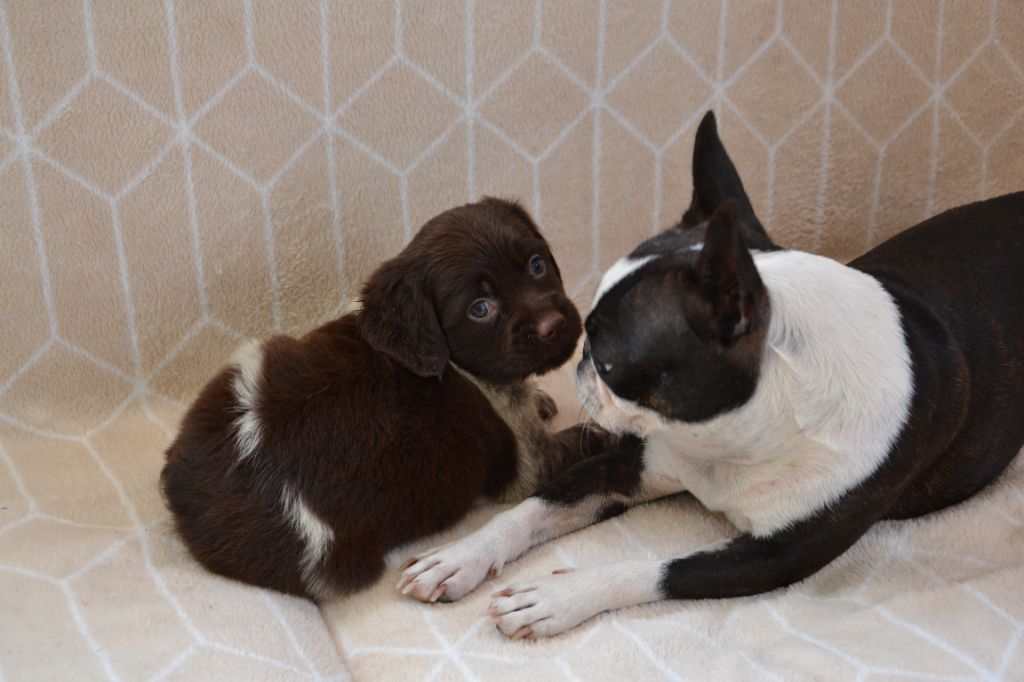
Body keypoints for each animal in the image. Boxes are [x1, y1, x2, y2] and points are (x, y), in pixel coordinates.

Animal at [161, 195, 606, 593]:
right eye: (480, 308)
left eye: (537, 265)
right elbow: (580, 441)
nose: (552, 324)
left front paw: (538, 399)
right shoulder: (527, 464)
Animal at [397, 110, 1024, 638]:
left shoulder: (773, 559)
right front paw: (460, 556)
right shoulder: (634, 463)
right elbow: (534, 507)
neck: (733, 437)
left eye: (607, 358)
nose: (577, 364)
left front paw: (558, 597)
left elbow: (655, 570)